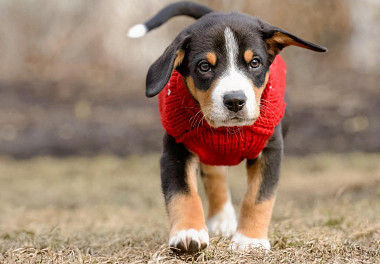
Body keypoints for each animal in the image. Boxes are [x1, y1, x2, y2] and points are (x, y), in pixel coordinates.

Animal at [127, 2, 326, 254]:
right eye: (204, 66)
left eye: (255, 62)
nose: (234, 100)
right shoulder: (176, 149)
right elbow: (182, 193)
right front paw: (188, 232)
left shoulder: (270, 149)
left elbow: (258, 197)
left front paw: (249, 240)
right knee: (214, 174)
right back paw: (221, 218)